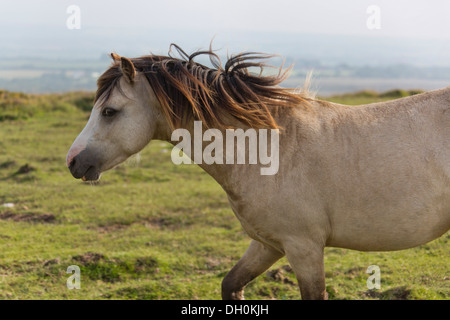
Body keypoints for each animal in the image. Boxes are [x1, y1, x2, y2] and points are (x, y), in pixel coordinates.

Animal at [67, 43, 450, 298]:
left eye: (110, 112)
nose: (73, 161)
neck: (270, 150)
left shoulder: (303, 248)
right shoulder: (268, 244)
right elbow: (230, 284)